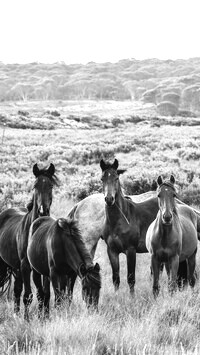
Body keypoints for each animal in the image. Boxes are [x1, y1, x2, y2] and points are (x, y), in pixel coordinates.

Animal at [0, 164, 57, 322]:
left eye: (50, 185)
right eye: (35, 186)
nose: (43, 211)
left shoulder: (43, 268)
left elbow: (44, 293)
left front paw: (44, 318)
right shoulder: (25, 266)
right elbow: (28, 295)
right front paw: (27, 320)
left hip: (16, 268)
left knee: (17, 290)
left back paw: (16, 314)